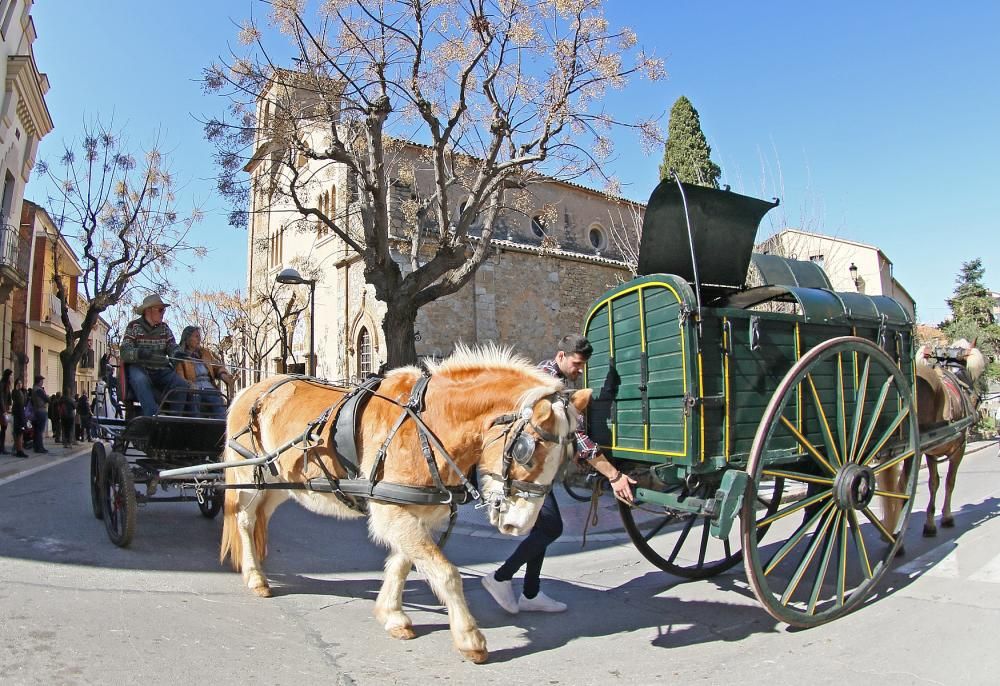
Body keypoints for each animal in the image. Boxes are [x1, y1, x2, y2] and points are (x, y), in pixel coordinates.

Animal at [215, 346, 584, 664]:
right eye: (525, 451)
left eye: (567, 457)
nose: (519, 525)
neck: (428, 425)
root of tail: (249, 391)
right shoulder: (392, 512)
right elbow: (446, 572)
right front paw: (469, 638)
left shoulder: (416, 513)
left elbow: (403, 564)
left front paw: (392, 615)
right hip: (247, 474)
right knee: (244, 520)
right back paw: (255, 576)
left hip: (280, 481)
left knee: (260, 515)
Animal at [916, 342, 984, 540]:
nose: (976, 397)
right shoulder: (959, 448)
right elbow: (949, 481)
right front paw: (946, 517)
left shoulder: (930, 453)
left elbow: (934, 483)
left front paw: (930, 523)